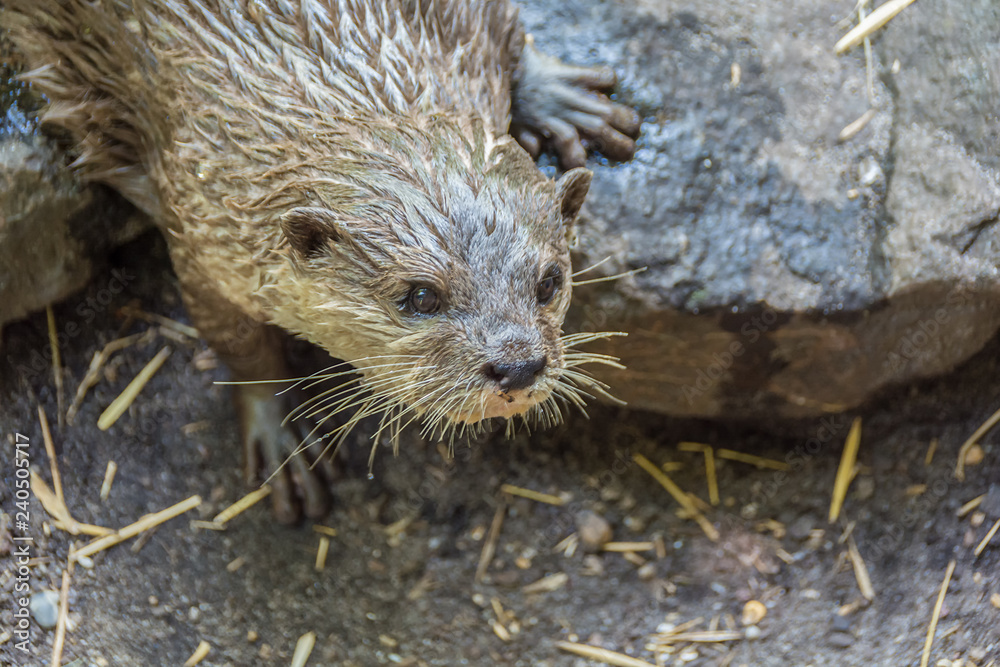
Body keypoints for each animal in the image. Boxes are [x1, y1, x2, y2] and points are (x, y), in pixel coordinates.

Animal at [5, 0, 640, 521]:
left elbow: (506, 25)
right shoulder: (199, 229)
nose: (517, 365)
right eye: (421, 295)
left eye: (549, 282)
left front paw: (555, 94)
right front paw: (280, 437)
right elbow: (237, 340)